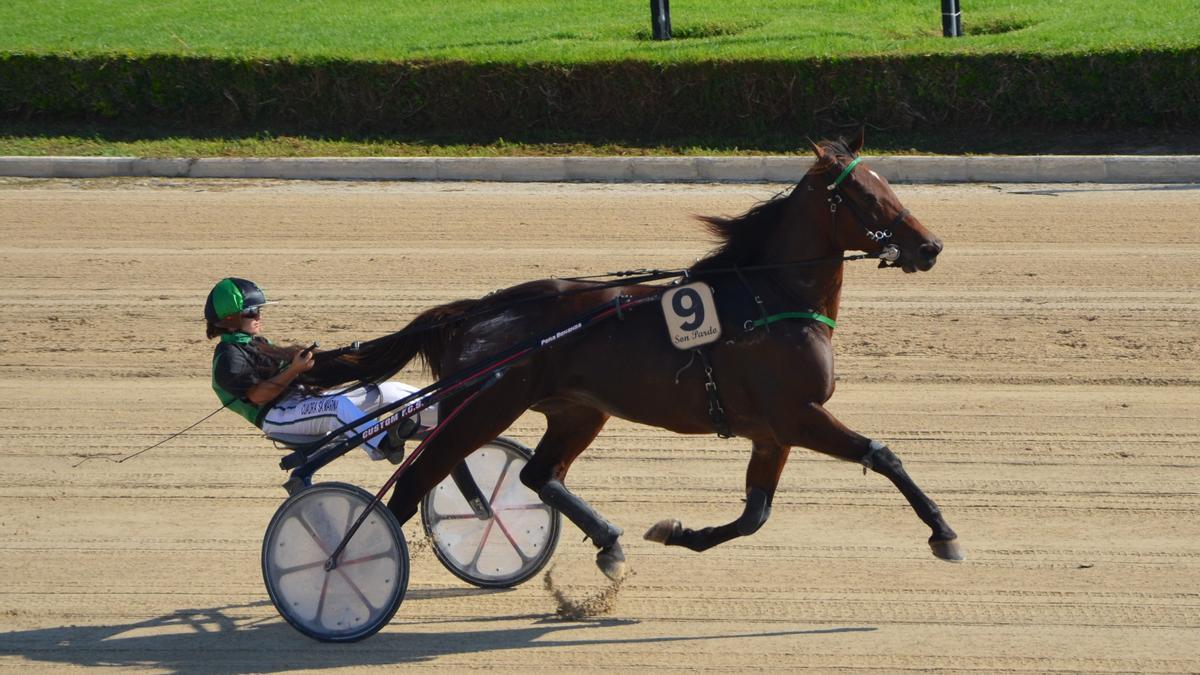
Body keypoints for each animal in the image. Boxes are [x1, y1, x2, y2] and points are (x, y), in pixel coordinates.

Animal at [302, 135, 964, 578]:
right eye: (865, 196)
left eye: (887, 185)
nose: (930, 247)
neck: (772, 298)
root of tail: (476, 313)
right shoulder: (798, 415)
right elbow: (884, 456)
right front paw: (944, 532)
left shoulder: (771, 431)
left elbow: (754, 514)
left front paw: (677, 533)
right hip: (485, 407)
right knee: (413, 486)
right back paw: (352, 568)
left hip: (576, 410)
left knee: (537, 475)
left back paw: (609, 542)